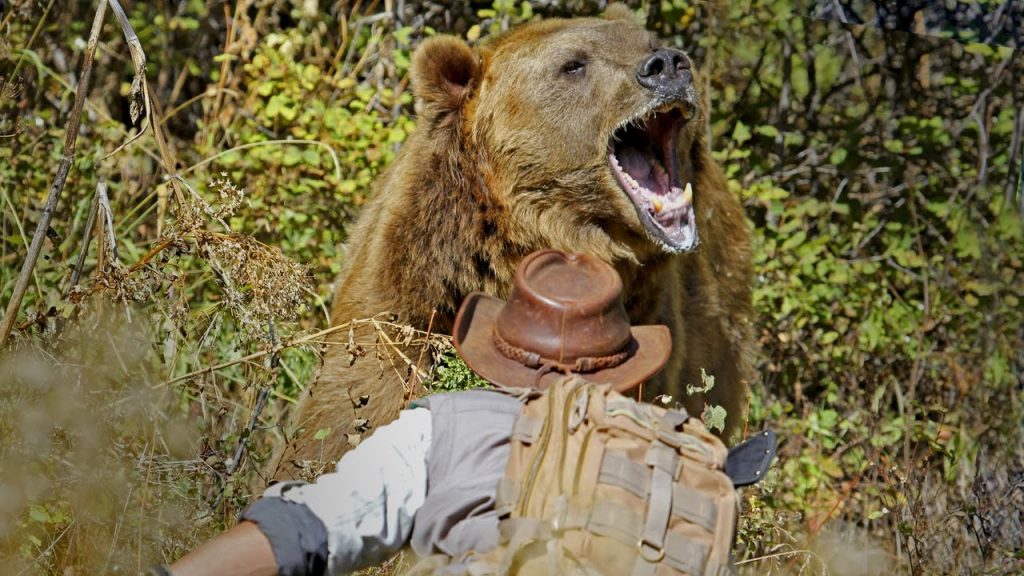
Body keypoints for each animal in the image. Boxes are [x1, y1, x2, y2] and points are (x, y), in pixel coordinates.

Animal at [267, 6, 754, 480]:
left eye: (648, 42)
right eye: (573, 63)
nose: (667, 65)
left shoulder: (652, 326)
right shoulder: (407, 304)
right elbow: (354, 405)